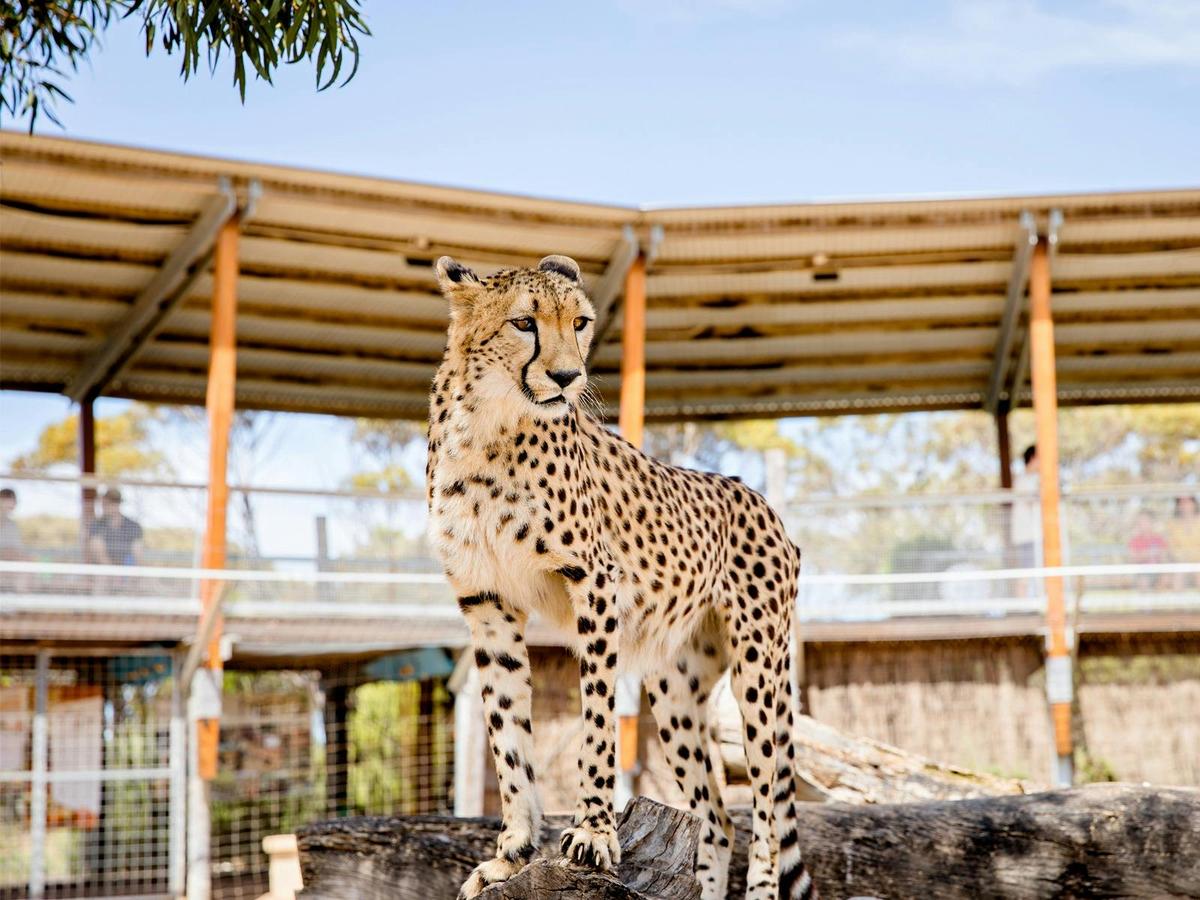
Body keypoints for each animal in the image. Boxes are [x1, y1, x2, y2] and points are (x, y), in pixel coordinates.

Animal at [426, 253, 818, 900]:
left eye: (580, 322)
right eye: (524, 323)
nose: (566, 377)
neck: (487, 425)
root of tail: (754, 494)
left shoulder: (595, 583)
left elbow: (597, 722)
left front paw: (593, 832)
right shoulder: (487, 601)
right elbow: (508, 736)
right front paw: (511, 855)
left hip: (759, 670)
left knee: (764, 812)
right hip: (675, 686)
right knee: (717, 819)